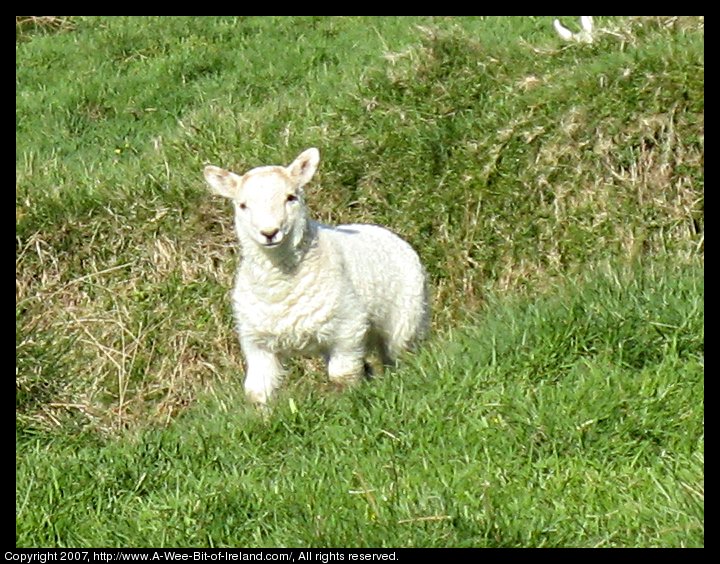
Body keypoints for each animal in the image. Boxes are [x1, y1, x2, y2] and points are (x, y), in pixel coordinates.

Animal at [202, 148, 428, 406]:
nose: (269, 233)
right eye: (242, 205)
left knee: (401, 355)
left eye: (291, 197)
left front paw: (348, 404)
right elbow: (257, 391)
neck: (280, 283)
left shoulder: (348, 328)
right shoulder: (257, 342)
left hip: (407, 321)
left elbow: (343, 376)